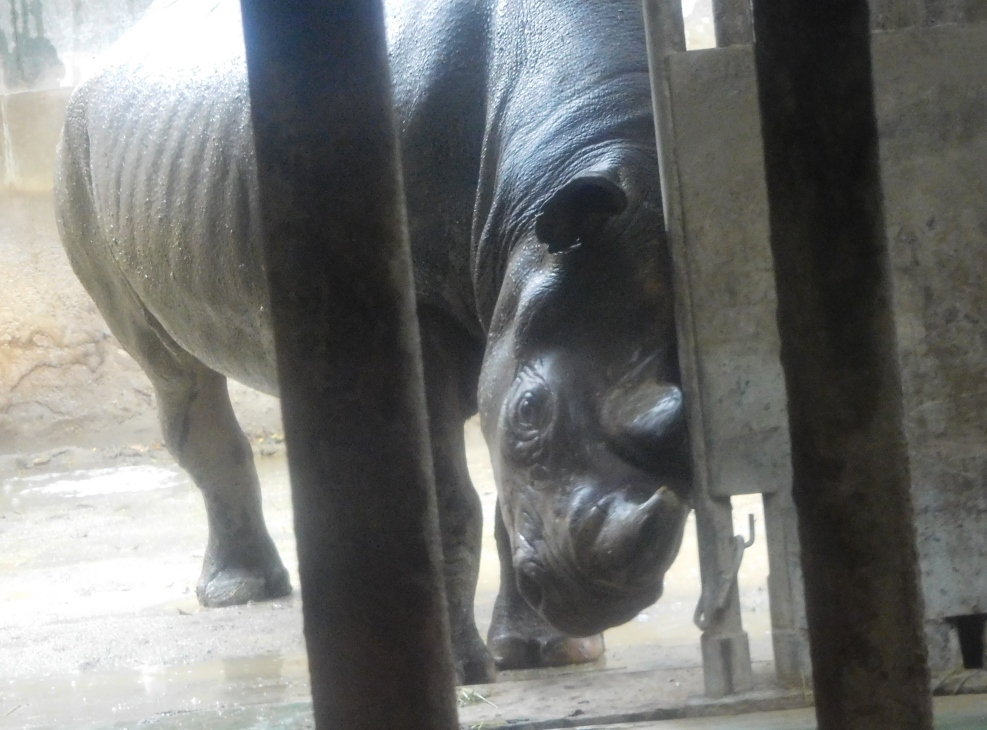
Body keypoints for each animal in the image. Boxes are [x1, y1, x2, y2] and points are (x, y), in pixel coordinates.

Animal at [54, 0, 692, 684]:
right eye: (530, 410)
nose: (597, 599)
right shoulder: (425, 302)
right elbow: (448, 497)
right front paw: (459, 672)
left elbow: (505, 485)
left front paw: (548, 655)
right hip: (77, 158)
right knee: (176, 373)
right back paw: (242, 592)